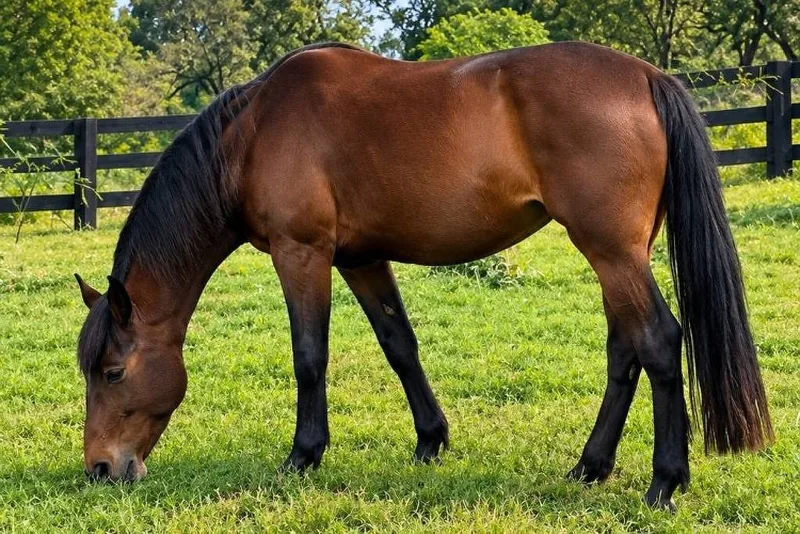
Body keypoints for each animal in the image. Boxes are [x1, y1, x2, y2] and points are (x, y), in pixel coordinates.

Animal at [75, 41, 773, 510]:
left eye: (112, 372)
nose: (100, 469)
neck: (251, 134)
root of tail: (648, 76)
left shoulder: (302, 253)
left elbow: (309, 355)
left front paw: (303, 455)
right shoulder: (360, 258)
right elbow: (399, 346)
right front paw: (431, 441)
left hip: (611, 251)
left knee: (657, 340)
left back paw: (664, 480)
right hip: (619, 255)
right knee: (624, 349)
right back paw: (590, 466)